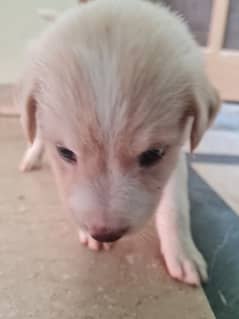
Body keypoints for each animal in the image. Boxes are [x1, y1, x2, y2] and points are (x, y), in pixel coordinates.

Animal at [16, 0, 220, 286]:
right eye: (65, 153)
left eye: (153, 154)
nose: (104, 234)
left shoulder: (176, 156)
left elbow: (175, 207)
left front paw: (183, 254)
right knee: (35, 135)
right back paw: (31, 157)